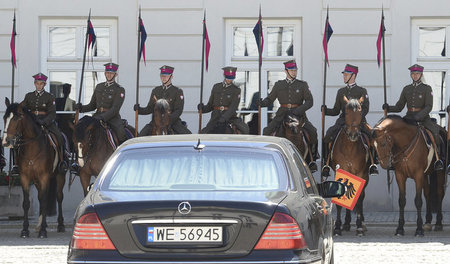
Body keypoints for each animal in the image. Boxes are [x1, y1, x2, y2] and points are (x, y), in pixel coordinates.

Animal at [2, 99, 65, 239]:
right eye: (4, 118)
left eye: (16, 118)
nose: (6, 142)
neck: (32, 148)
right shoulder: (25, 177)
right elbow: (26, 203)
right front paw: (25, 230)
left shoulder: (44, 177)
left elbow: (45, 201)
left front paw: (43, 232)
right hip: (36, 180)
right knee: (41, 197)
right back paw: (41, 224)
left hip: (60, 176)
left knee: (58, 197)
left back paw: (60, 225)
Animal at [330, 99, 370, 237]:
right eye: (346, 112)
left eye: (360, 112)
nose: (353, 134)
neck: (349, 147)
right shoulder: (340, 171)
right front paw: (337, 227)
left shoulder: (360, 174)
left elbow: (359, 198)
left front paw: (359, 227)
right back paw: (346, 223)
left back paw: (360, 223)